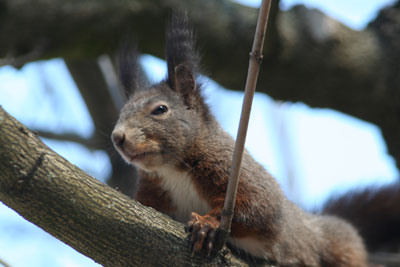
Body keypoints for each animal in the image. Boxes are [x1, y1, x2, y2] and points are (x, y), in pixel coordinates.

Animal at [110, 14, 368, 267]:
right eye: (122, 112)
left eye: (160, 110)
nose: (117, 137)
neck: (172, 170)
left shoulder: (237, 170)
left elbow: (255, 207)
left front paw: (207, 224)